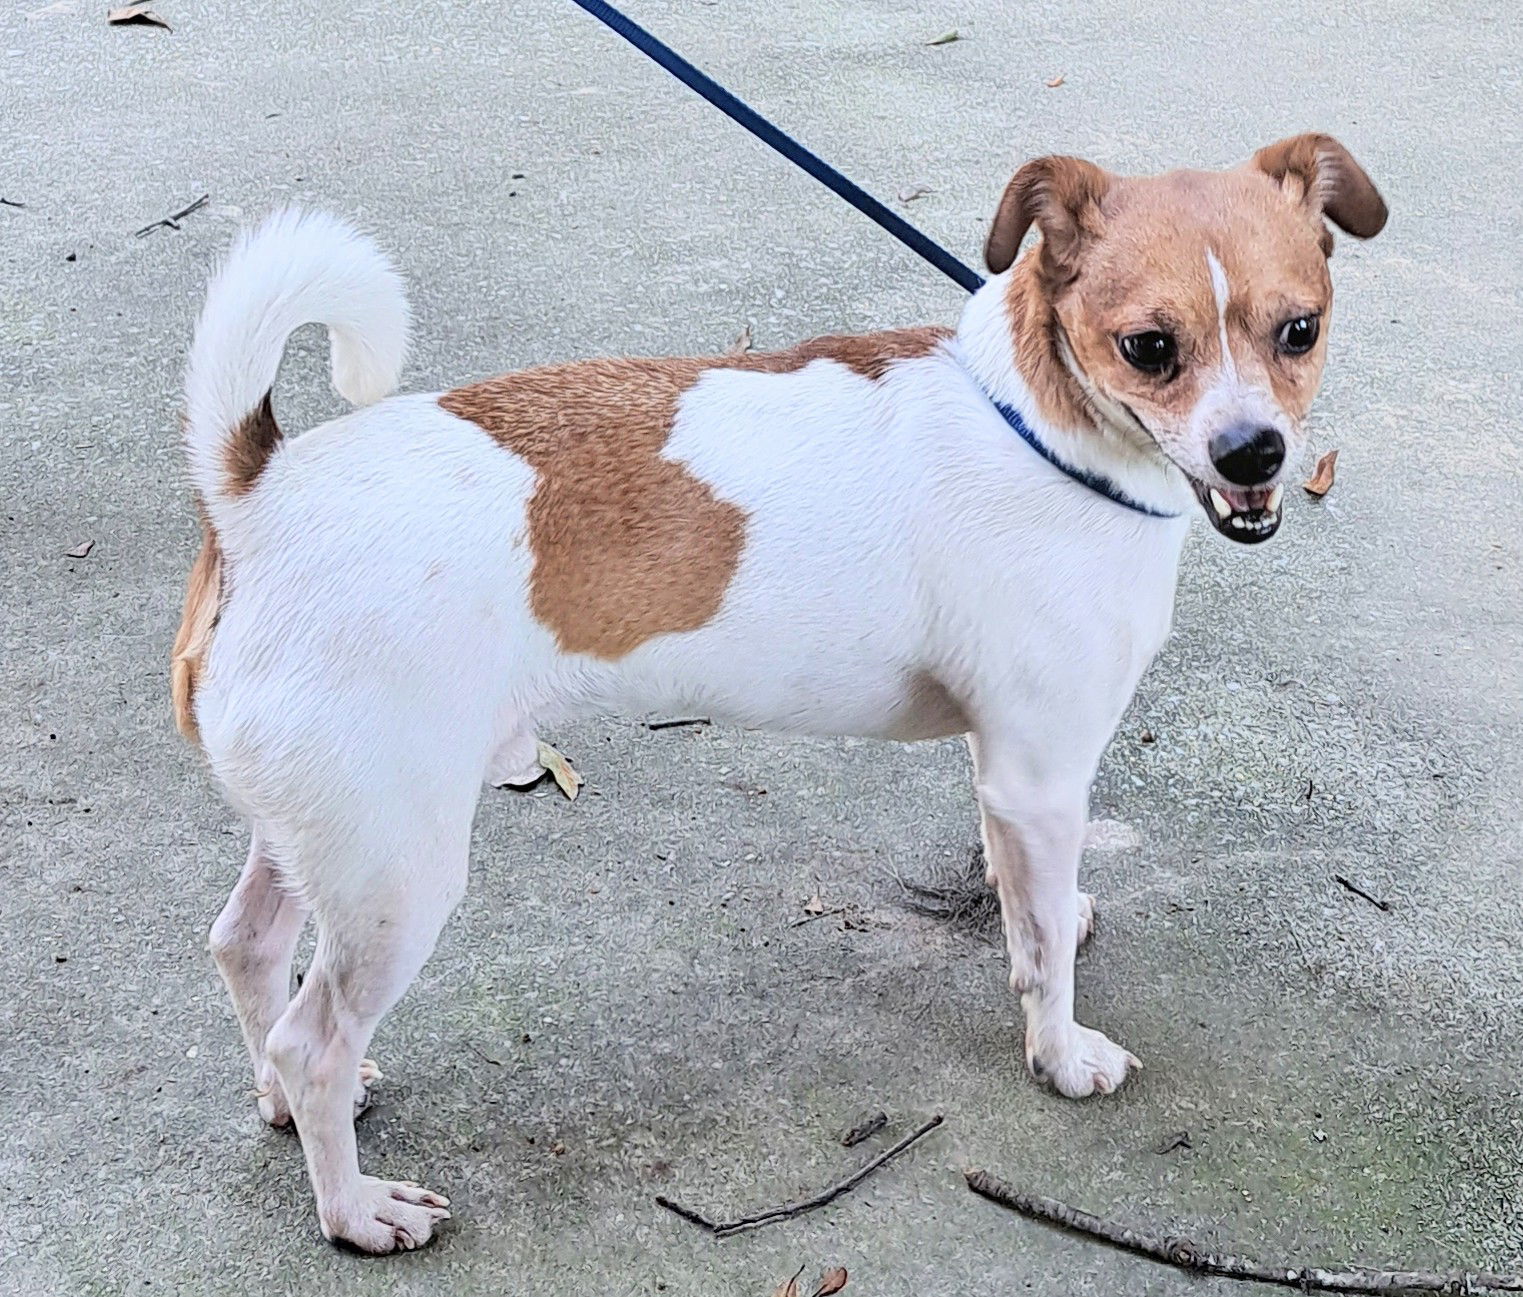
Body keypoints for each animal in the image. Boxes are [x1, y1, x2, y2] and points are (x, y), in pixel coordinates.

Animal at [172, 133, 1388, 1254]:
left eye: (1298, 330)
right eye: (1149, 348)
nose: (1252, 453)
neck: (1043, 429)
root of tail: (259, 490)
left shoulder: (1002, 774)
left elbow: (1023, 903)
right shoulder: (1041, 777)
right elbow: (1040, 950)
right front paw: (1058, 1054)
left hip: (325, 838)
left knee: (248, 950)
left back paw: (286, 1103)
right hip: (399, 874)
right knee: (309, 1039)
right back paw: (352, 1206)